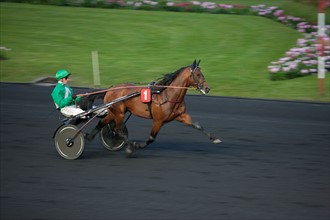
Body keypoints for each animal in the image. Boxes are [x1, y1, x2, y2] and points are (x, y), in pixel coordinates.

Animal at [84, 59, 220, 156]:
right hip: (119, 113)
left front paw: (214, 138)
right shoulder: (158, 121)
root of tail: (110, 89)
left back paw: (89, 136)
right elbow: (151, 138)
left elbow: (197, 125)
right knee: (118, 130)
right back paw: (129, 146)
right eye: (198, 74)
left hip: (114, 112)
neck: (167, 95)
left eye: (201, 73)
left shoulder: (181, 116)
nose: (207, 88)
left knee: (103, 123)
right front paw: (136, 146)